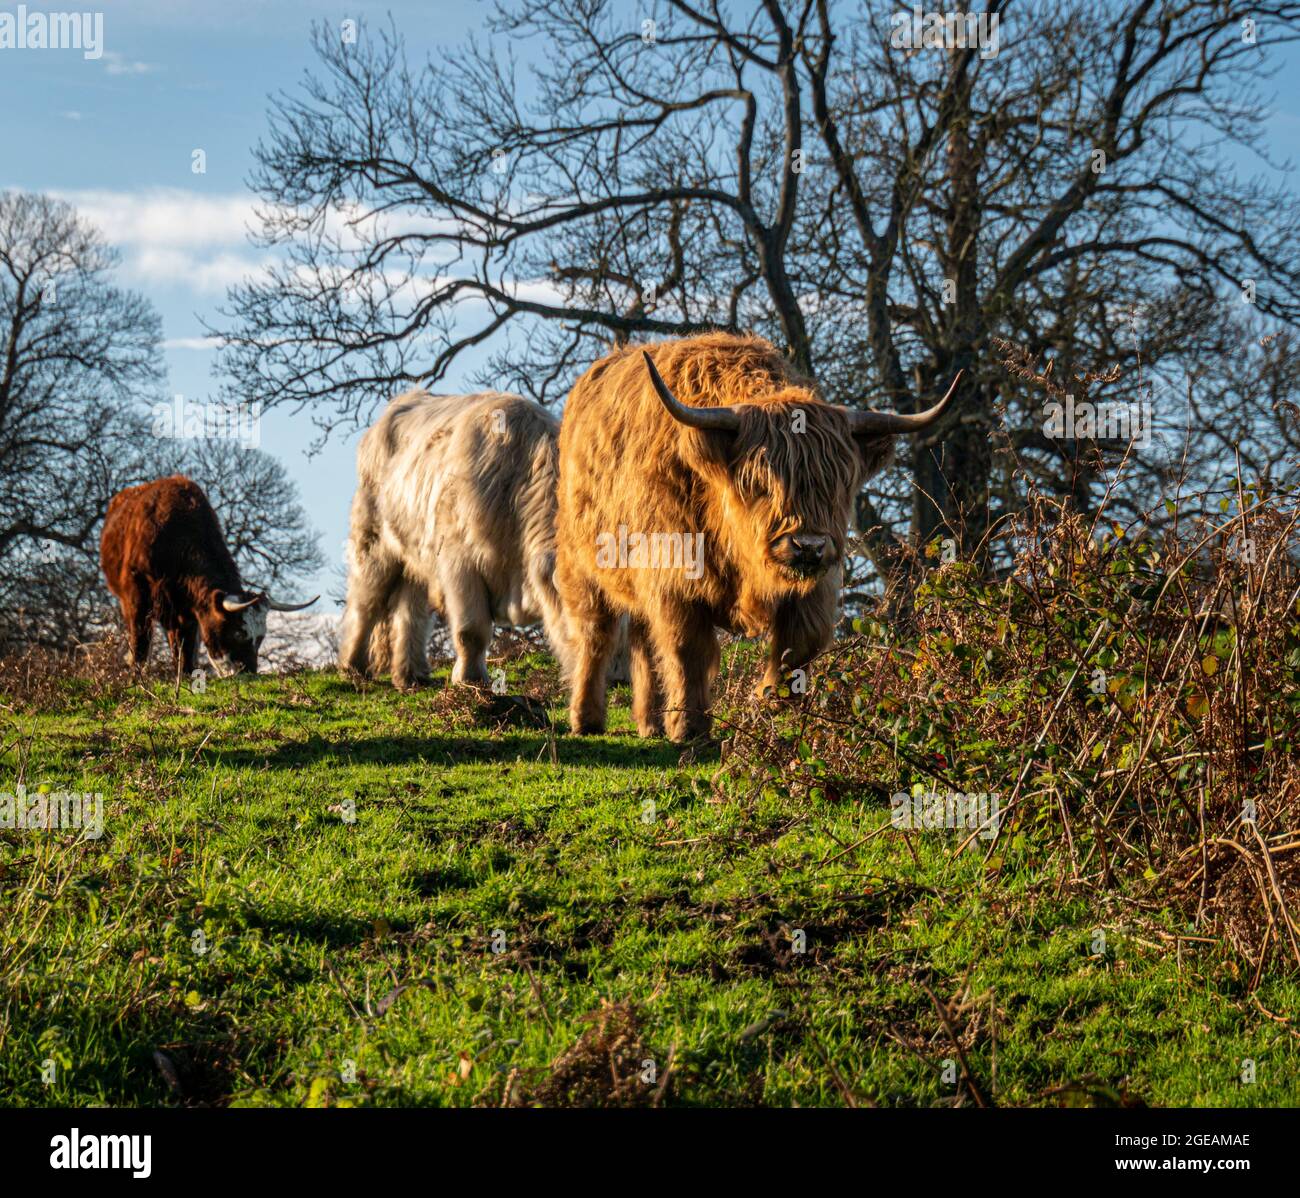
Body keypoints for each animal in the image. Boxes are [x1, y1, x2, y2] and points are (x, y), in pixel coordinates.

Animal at [98, 478, 317, 680]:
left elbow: (185, 647)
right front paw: (136, 677)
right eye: (238, 632)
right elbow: (140, 640)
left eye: (261, 637)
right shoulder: (137, 597)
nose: (249, 672)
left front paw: (186, 676)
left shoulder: (186, 610)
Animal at [553, 332, 961, 738]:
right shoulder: (674, 576)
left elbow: (800, 645)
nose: (808, 546)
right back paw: (586, 718)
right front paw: (690, 726)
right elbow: (687, 649)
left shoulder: (816, 585)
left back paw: (650, 722)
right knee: (596, 636)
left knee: (642, 639)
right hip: (583, 563)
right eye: (761, 484)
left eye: (838, 487)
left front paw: (775, 712)